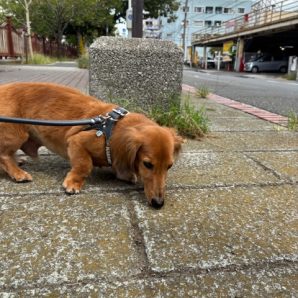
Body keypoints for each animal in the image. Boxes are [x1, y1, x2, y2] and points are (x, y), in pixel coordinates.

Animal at [0, 81, 183, 207]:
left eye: (169, 166)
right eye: (147, 164)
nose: (159, 203)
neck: (112, 127)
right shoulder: (76, 141)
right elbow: (84, 165)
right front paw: (73, 183)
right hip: (16, 133)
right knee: (4, 155)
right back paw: (18, 173)